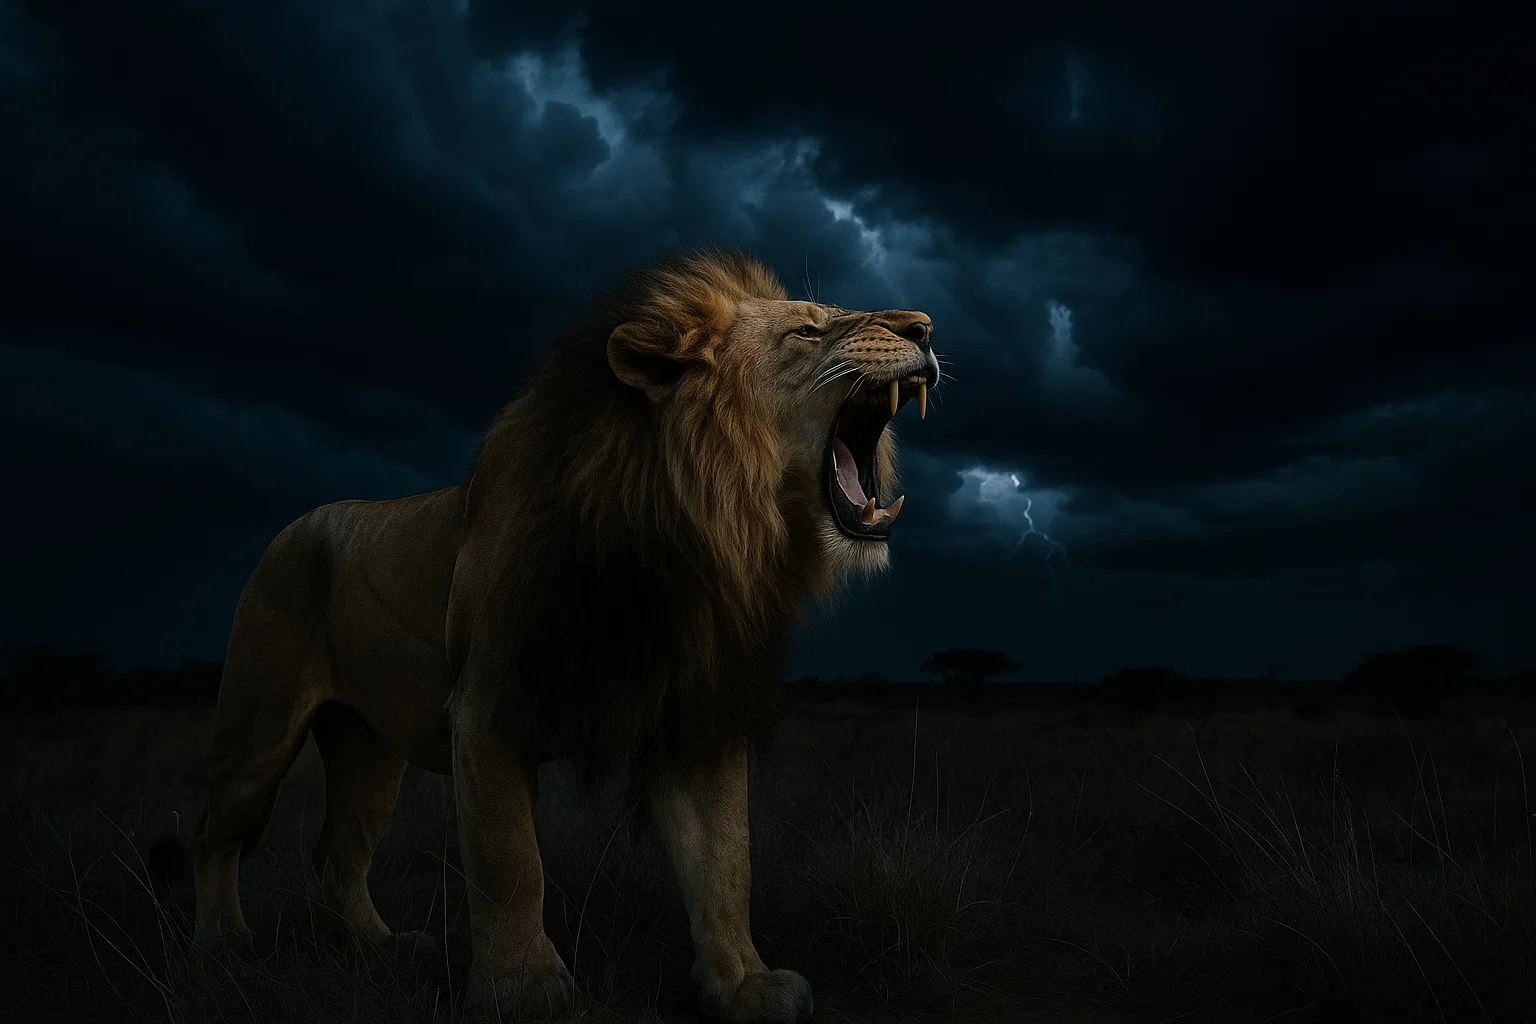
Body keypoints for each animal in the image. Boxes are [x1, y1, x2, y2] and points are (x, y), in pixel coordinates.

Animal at [149, 249, 939, 1022]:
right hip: (259, 724)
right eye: (807, 330)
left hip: (369, 747)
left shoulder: (695, 714)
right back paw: (222, 945)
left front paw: (745, 984)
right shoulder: (487, 707)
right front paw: (521, 988)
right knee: (216, 832)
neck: (689, 533)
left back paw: (379, 947)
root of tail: (293, 526)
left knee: (338, 852)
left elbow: (725, 861)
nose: (925, 327)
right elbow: (509, 862)